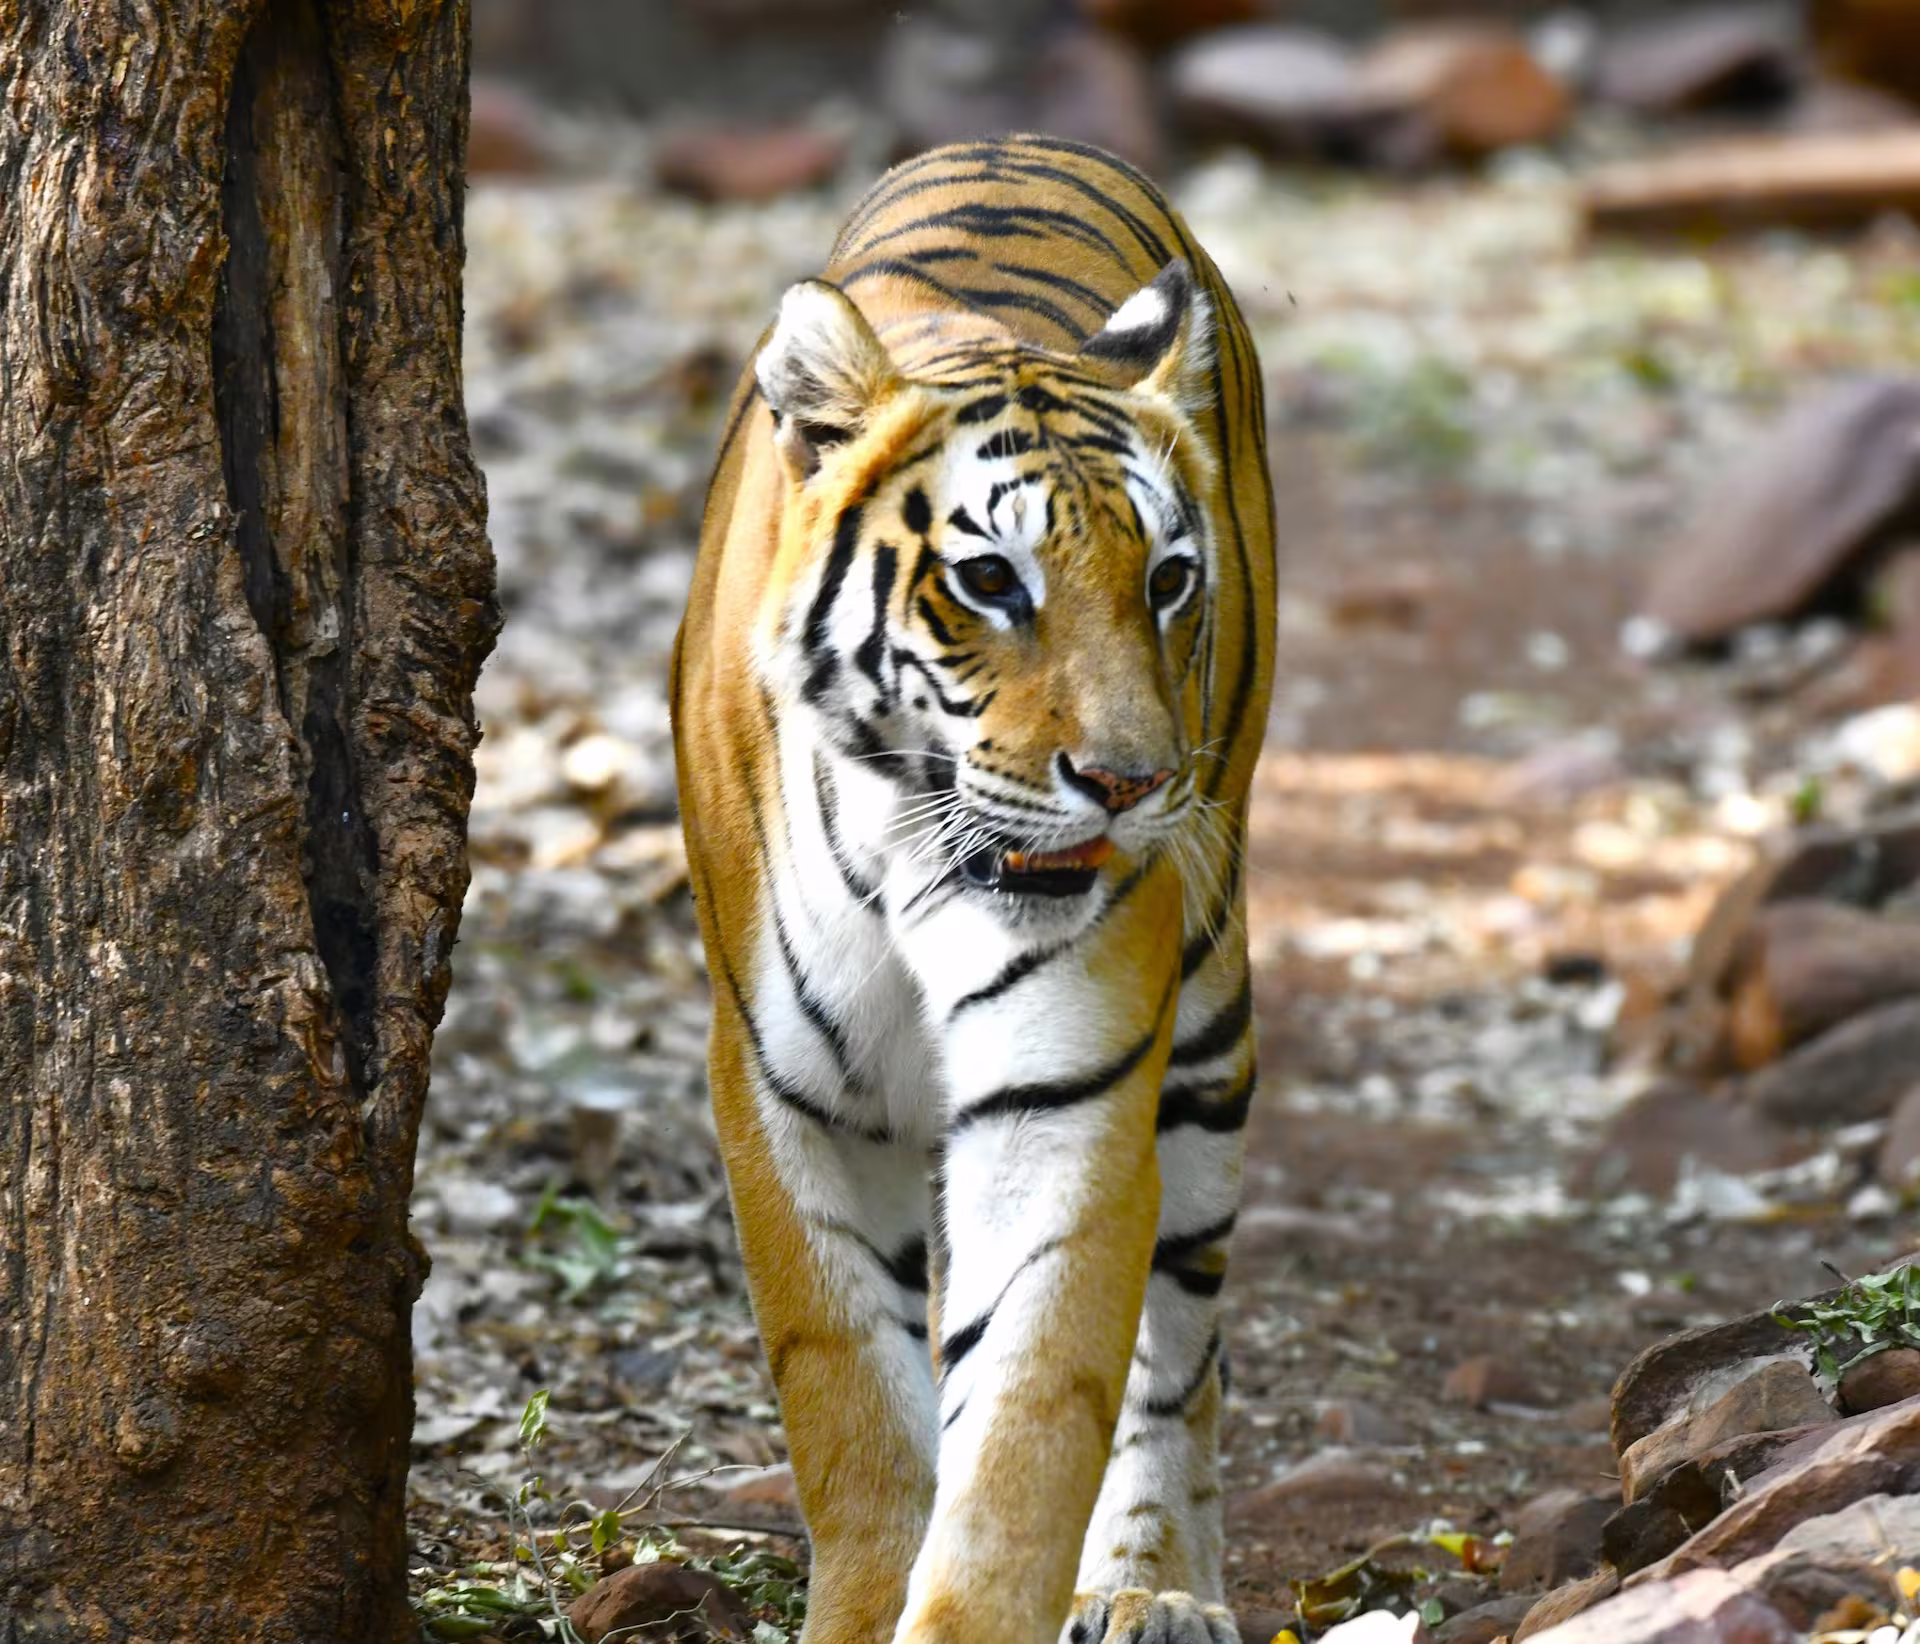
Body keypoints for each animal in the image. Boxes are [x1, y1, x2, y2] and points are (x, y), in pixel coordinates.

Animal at [671, 134, 1276, 1644]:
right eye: (991, 580)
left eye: (1169, 580)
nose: (1128, 782)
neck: (909, 844)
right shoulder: (783, 1091)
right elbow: (852, 1407)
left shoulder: (1066, 1092)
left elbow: (1028, 1418)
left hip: (1210, 1012)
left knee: (1181, 1351)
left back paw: (1152, 1588)